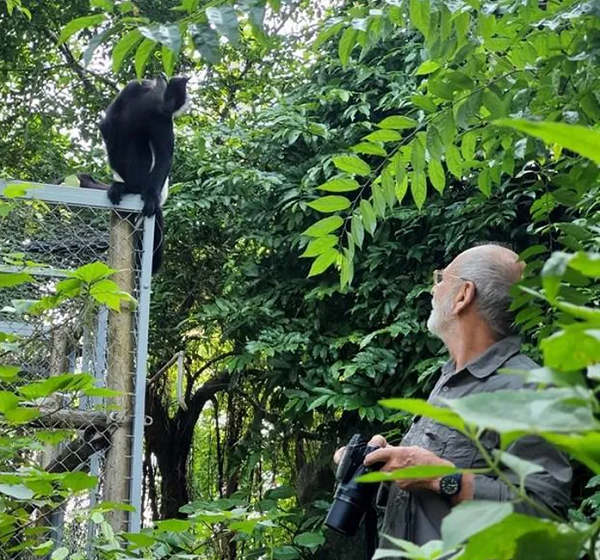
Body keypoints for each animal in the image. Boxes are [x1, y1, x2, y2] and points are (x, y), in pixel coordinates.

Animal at [80, 73, 190, 274]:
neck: (150, 102)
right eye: (172, 97)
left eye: (177, 101)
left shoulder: (162, 119)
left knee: (138, 140)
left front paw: (151, 197)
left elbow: (164, 156)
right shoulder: (134, 89)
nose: (170, 107)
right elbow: (108, 125)